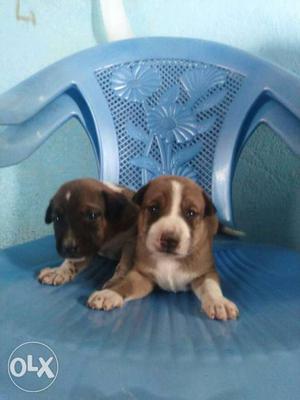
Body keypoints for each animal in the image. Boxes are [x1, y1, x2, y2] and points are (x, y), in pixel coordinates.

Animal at [87, 177, 239, 320]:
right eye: (154, 208)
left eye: (191, 213)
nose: (169, 240)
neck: (169, 259)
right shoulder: (141, 276)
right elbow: (126, 284)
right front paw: (109, 294)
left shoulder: (205, 272)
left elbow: (210, 286)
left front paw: (219, 303)